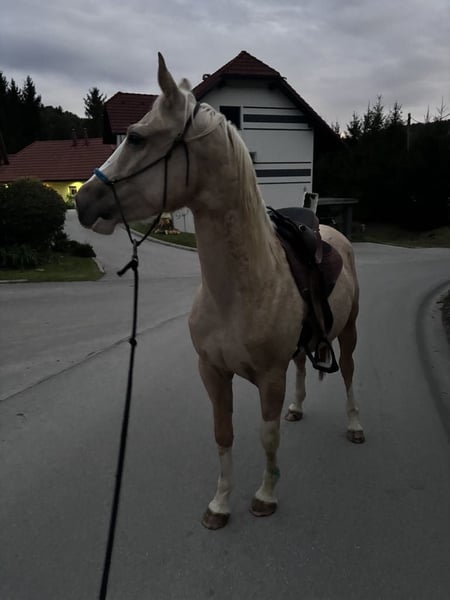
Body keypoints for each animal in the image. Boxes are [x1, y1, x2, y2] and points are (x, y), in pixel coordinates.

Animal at [76, 54, 364, 530]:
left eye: (136, 137)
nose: (83, 200)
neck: (239, 292)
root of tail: (330, 231)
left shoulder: (269, 378)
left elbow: (267, 436)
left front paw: (265, 496)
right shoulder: (212, 372)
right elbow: (223, 434)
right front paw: (220, 503)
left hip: (349, 333)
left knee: (349, 374)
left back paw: (355, 425)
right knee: (303, 367)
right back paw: (298, 406)